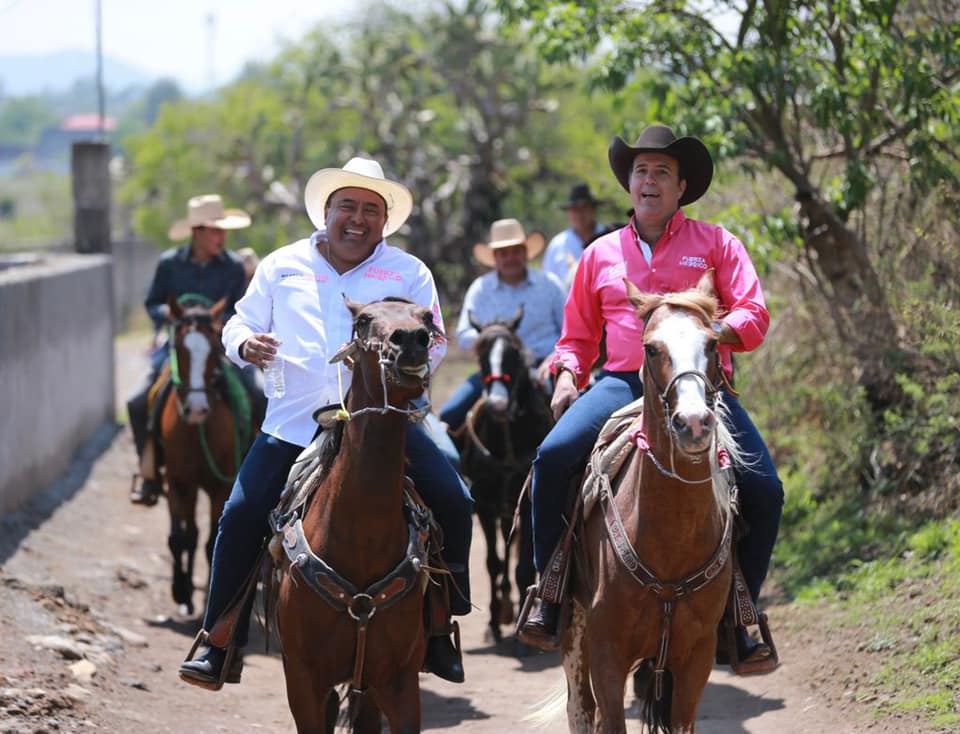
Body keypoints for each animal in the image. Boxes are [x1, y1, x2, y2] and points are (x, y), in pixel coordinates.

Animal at [460, 310, 552, 648]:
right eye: (481, 354)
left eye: (513, 353)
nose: (498, 404)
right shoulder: (486, 506)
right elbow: (493, 563)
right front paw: (493, 623)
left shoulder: (526, 506)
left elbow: (523, 566)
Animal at [556, 276, 744, 734]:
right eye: (652, 348)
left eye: (712, 343)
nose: (693, 423)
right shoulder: (608, 652)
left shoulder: (696, 658)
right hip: (574, 632)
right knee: (580, 709)